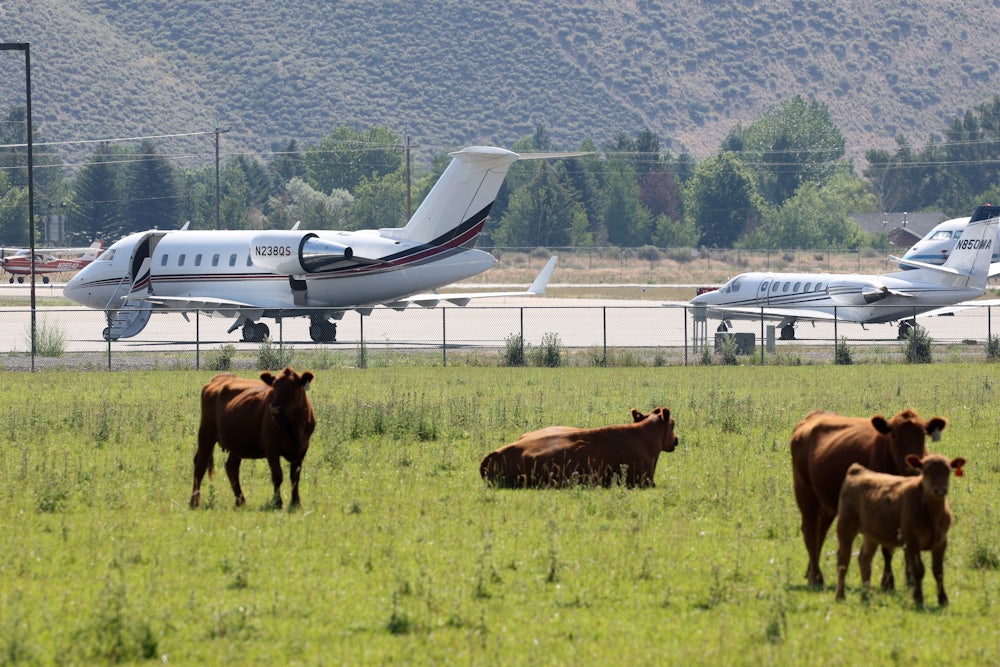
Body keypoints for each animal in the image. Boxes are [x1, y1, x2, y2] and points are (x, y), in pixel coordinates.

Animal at [190, 367, 316, 510]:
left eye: (292, 386)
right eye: (274, 386)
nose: (274, 408)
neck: (294, 425)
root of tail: (218, 379)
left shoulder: (302, 448)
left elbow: (295, 476)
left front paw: (295, 502)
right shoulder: (271, 448)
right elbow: (277, 475)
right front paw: (277, 502)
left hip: (236, 443)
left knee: (231, 468)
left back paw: (241, 501)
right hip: (206, 434)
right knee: (200, 465)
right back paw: (194, 501)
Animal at [790, 408, 946, 588]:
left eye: (922, 435)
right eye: (894, 435)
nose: (909, 465)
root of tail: (813, 416)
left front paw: (910, 579)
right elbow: (887, 548)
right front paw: (888, 582)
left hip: (826, 504)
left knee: (819, 533)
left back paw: (811, 574)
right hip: (805, 494)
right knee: (810, 533)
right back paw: (816, 578)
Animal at [835, 453, 965, 606]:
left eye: (948, 471)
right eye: (926, 471)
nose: (940, 490)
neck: (931, 514)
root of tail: (857, 470)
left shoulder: (941, 542)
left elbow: (938, 571)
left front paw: (943, 599)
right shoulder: (911, 542)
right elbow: (918, 570)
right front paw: (918, 598)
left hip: (871, 534)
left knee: (864, 558)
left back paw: (866, 595)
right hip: (845, 525)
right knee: (843, 559)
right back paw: (840, 595)